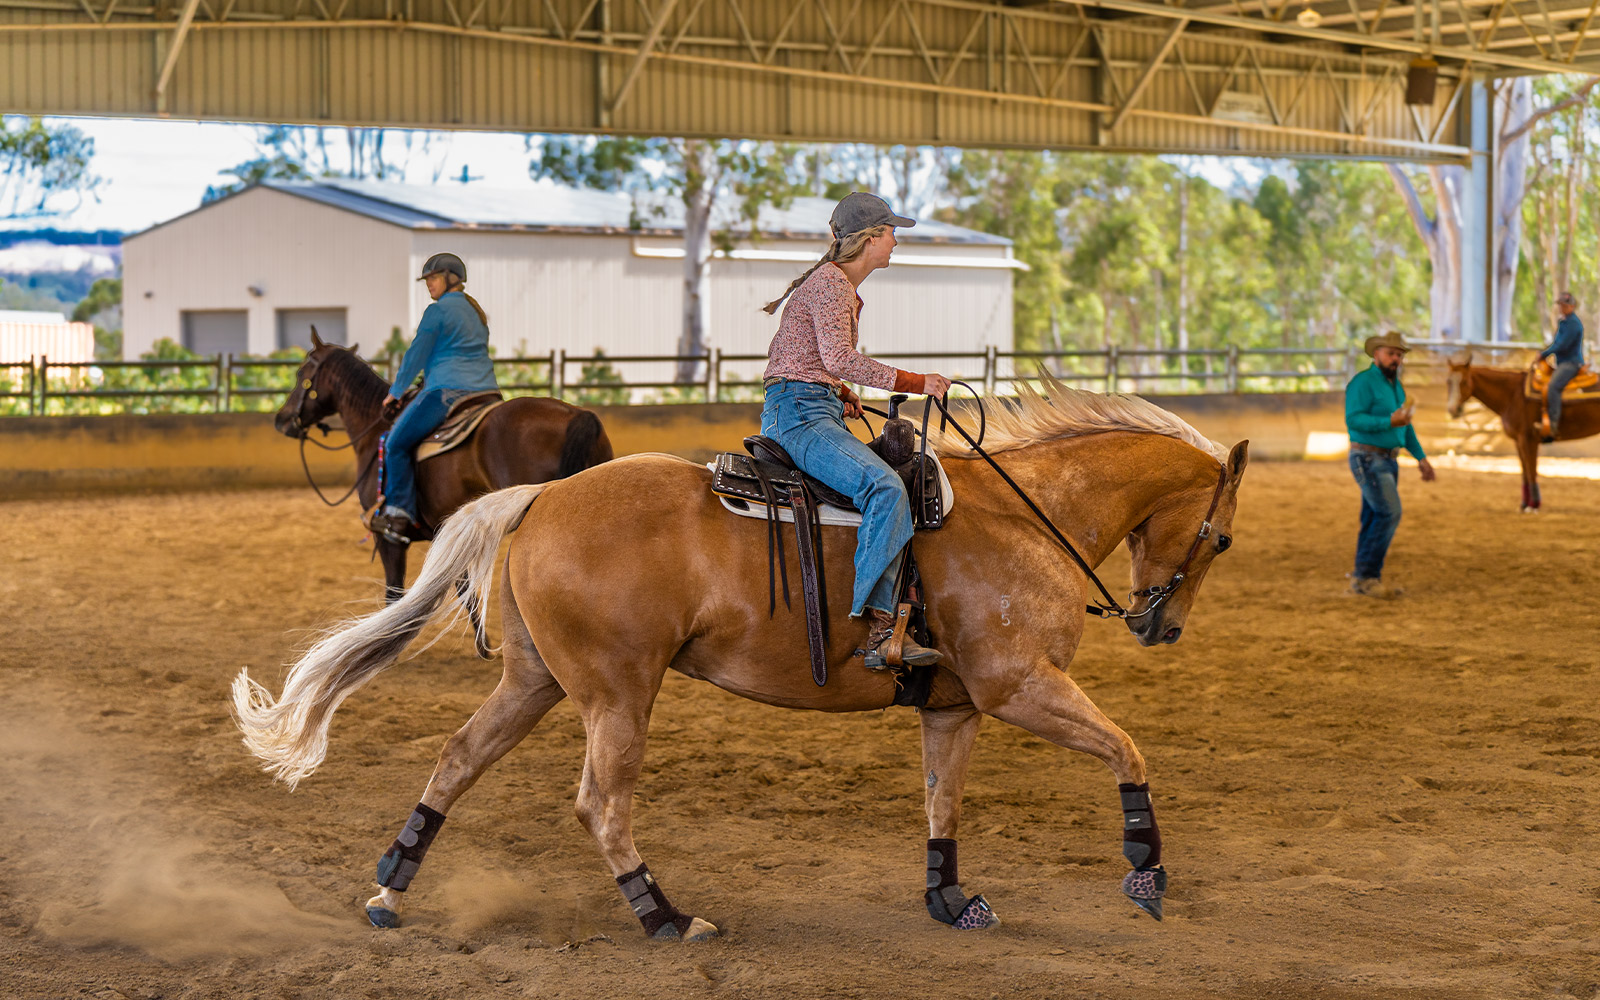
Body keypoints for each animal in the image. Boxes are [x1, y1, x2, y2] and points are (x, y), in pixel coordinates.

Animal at [232, 382, 1248, 934]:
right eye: (1226, 540)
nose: (1162, 628)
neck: (1024, 517)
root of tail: (540, 498)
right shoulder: (1019, 688)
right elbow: (1127, 751)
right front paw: (1146, 872)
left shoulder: (955, 706)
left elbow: (942, 804)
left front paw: (950, 899)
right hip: (617, 694)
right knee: (601, 805)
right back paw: (665, 917)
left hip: (536, 683)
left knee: (456, 760)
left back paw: (389, 893)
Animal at [276, 331, 611, 652]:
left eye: (302, 373)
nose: (281, 419)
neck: (375, 433)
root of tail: (577, 415)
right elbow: (465, 591)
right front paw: (484, 647)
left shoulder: (388, 536)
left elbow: (394, 594)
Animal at [1440, 350, 1600, 512]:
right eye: (1448, 381)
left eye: (1464, 382)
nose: (1452, 410)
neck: (1513, 394)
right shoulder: (1518, 441)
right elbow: (1524, 472)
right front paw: (1524, 504)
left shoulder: (1528, 439)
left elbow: (1531, 471)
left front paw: (1534, 505)